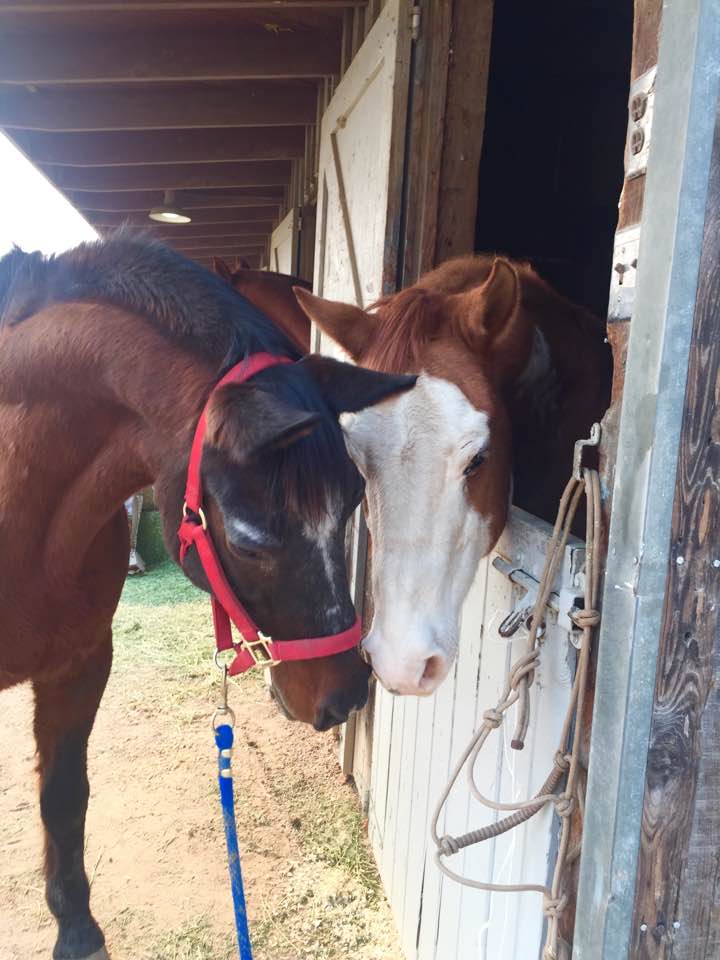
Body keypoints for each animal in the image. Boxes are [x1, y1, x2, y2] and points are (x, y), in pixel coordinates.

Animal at [0, 234, 414, 960]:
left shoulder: (79, 663)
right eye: (249, 540)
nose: (346, 697)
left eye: (353, 505)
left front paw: (77, 931)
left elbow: (63, 795)